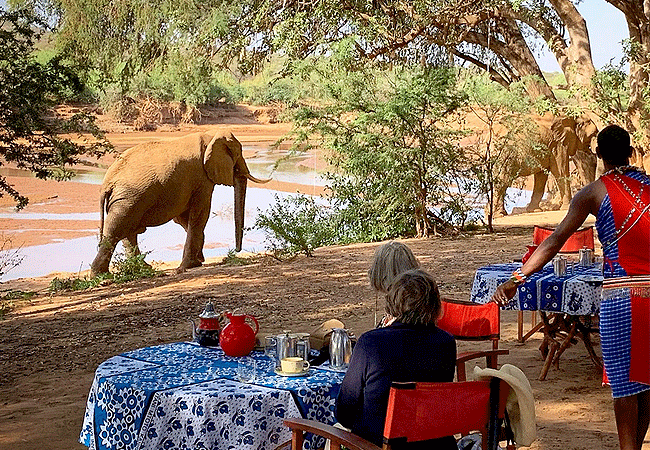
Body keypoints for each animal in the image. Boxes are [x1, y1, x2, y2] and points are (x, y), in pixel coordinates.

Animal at [90, 131, 267, 275]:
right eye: (238, 154)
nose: (237, 251)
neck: (210, 135)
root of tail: (106, 182)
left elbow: (183, 219)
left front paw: (197, 261)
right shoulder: (201, 177)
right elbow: (200, 213)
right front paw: (190, 266)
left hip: (126, 199)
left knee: (127, 232)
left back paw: (143, 268)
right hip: (128, 198)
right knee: (117, 230)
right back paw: (101, 275)